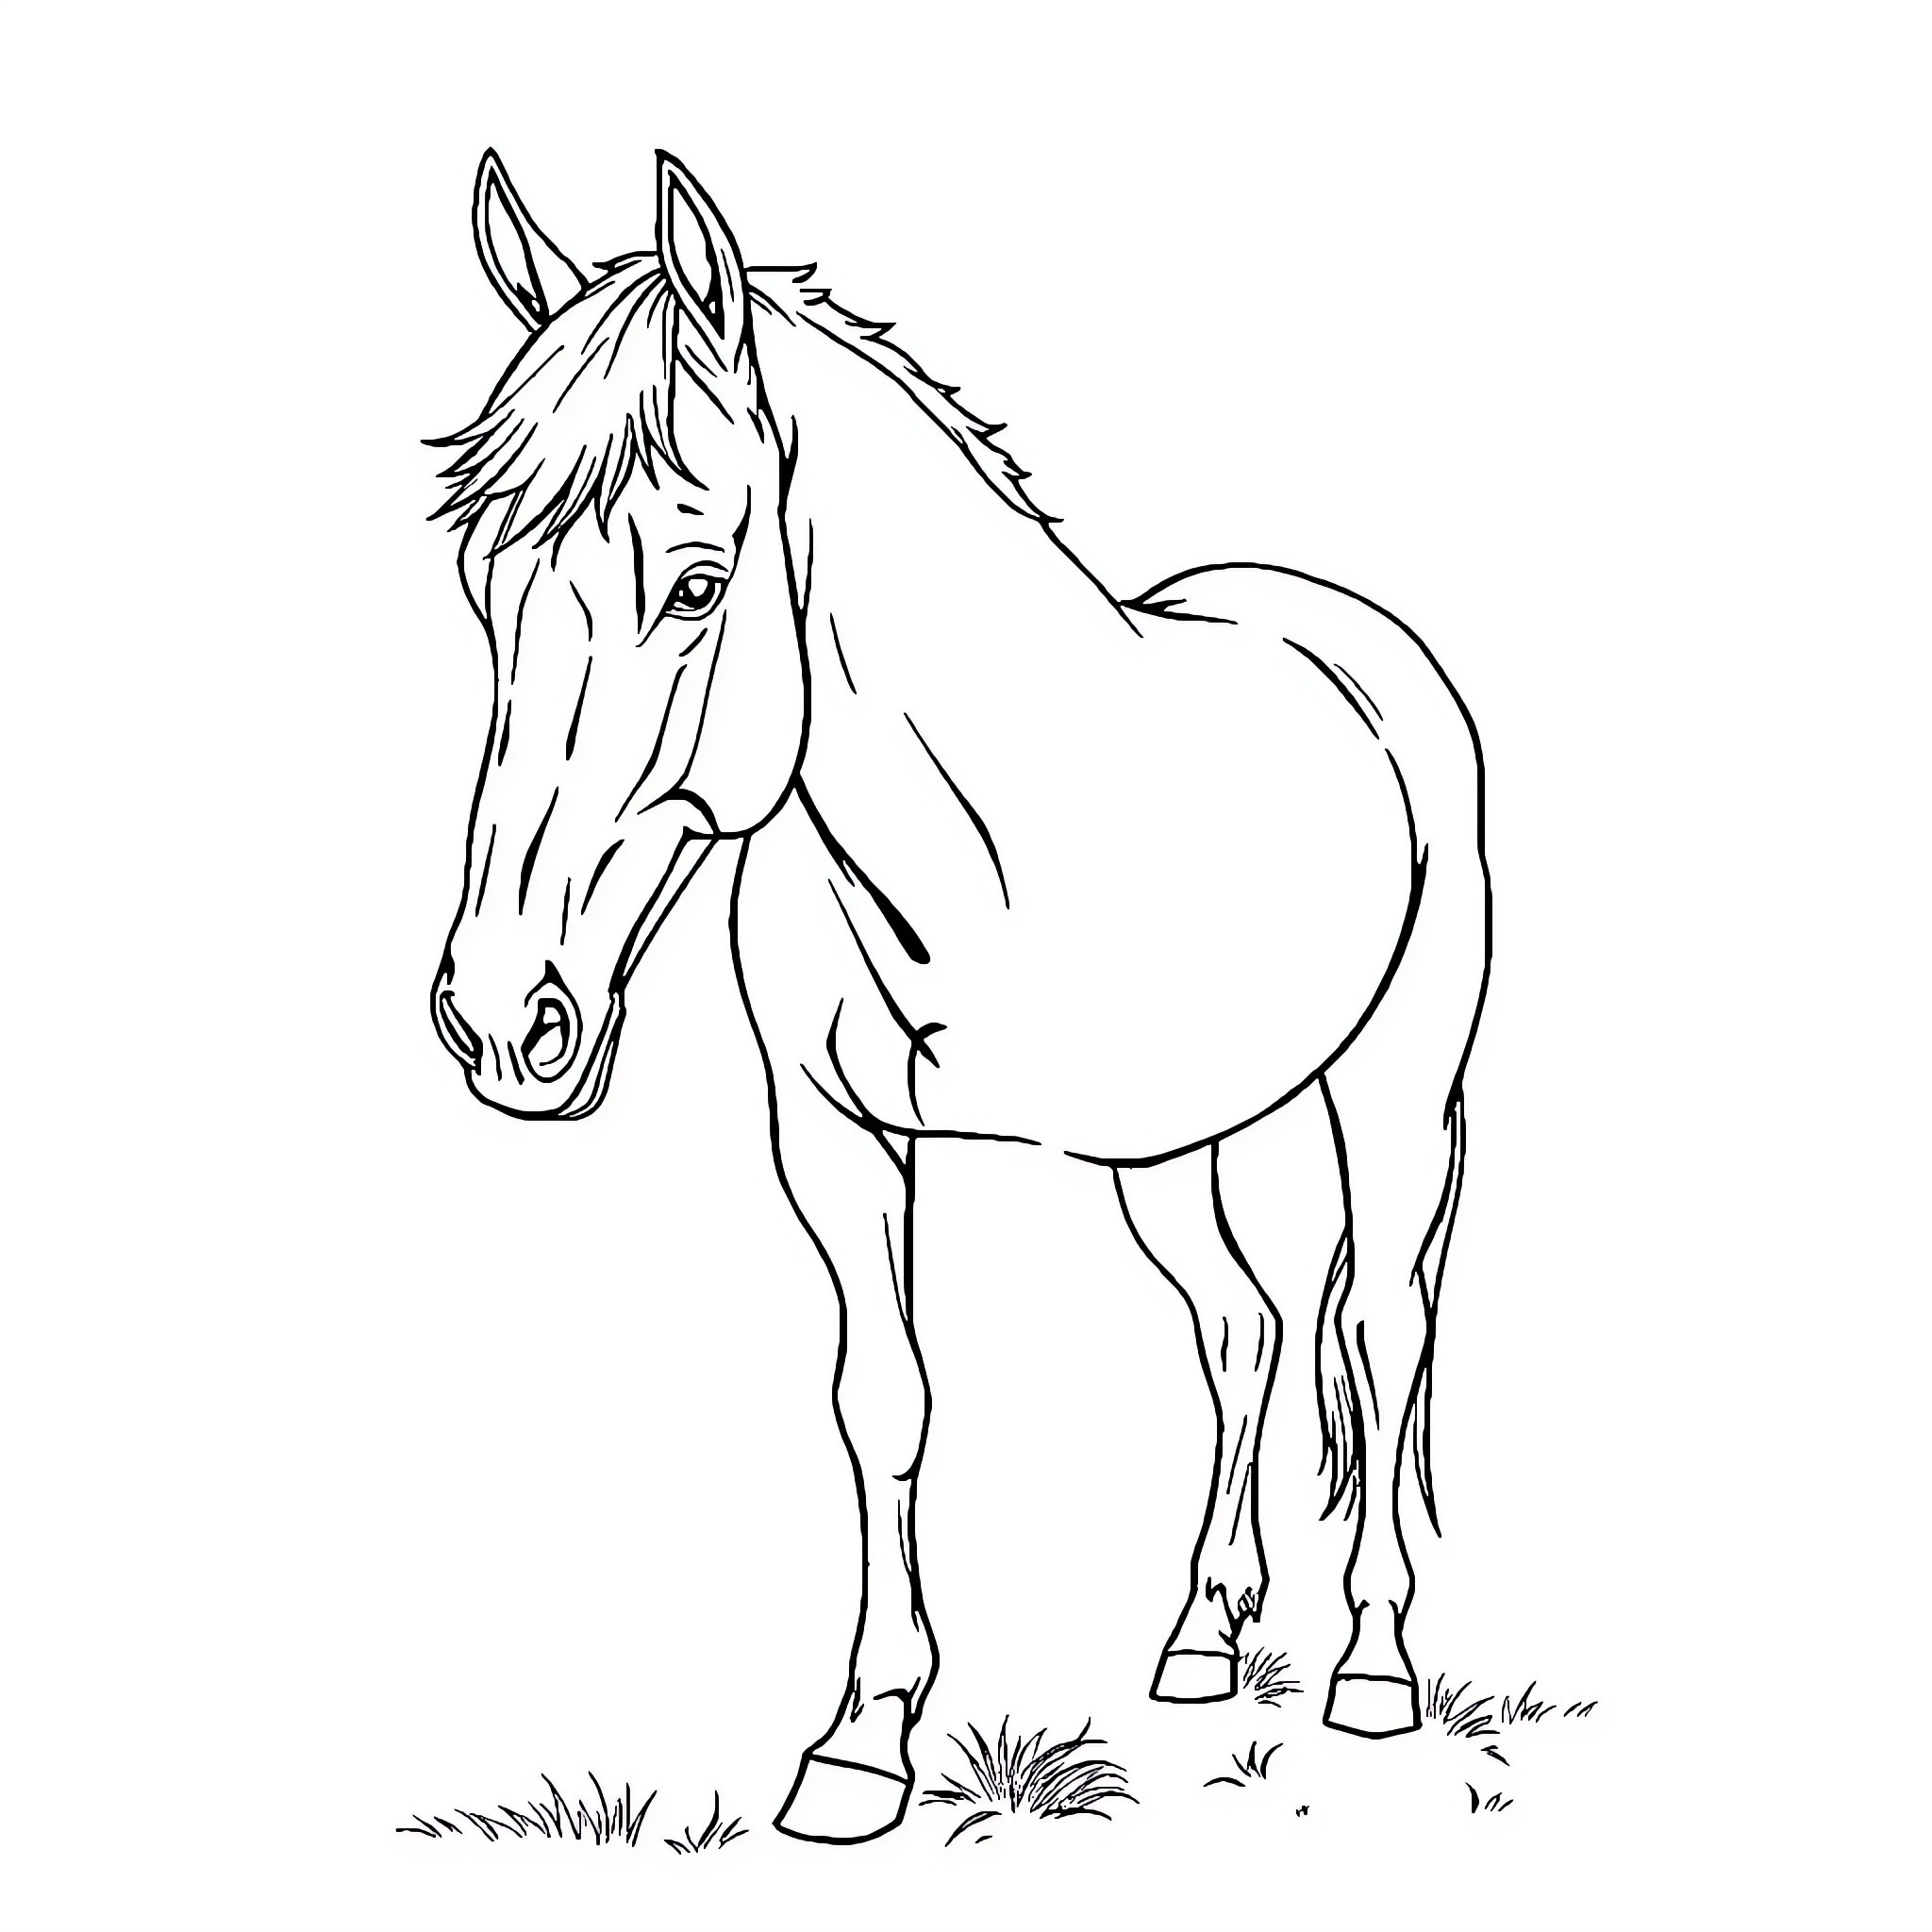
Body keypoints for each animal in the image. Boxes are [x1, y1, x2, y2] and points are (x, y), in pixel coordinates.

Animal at [426, 149, 1491, 1845]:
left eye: (695, 585)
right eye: (481, 582)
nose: (500, 1015)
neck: (968, 835)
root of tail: (1338, 622)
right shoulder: (833, 1140)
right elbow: (885, 1400)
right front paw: (861, 1741)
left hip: (1393, 1087)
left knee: (1382, 1326)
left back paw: (1371, 1665)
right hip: (1161, 1147)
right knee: (1245, 1327)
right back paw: (1201, 1636)